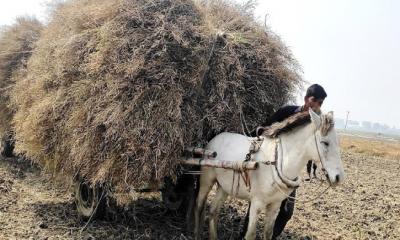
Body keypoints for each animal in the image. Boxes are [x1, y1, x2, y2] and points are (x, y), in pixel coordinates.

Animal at [194, 109, 344, 240]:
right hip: (206, 180)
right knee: (199, 205)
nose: (339, 177)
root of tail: (215, 138)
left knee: (213, 211)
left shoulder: (274, 206)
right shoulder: (256, 204)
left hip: (224, 187)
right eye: (325, 143)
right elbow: (251, 235)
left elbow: (268, 233)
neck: (275, 162)